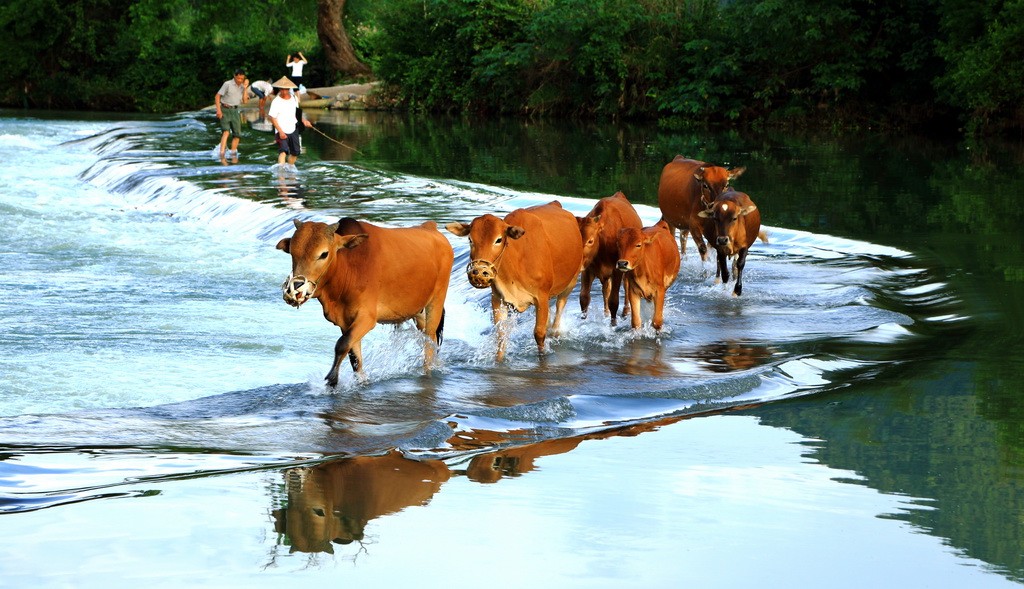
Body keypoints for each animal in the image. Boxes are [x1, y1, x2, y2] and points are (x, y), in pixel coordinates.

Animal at [276, 218, 452, 387]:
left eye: (324, 254)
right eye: (292, 252)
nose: (295, 287)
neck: (348, 268)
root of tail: (431, 227)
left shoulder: (367, 318)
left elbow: (341, 344)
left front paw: (332, 378)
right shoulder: (345, 322)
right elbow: (354, 356)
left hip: (436, 302)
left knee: (429, 342)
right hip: (419, 313)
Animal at [448, 200, 585, 362]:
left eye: (498, 240)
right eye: (470, 239)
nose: (479, 272)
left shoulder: (541, 297)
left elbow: (539, 334)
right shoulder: (498, 298)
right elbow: (500, 336)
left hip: (570, 283)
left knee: (558, 314)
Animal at [577, 191, 638, 325]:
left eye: (590, 241)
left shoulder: (617, 270)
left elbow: (614, 301)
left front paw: (613, 324)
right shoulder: (587, 270)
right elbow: (584, 298)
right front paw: (583, 320)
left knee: (626, 287)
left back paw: (626, 311)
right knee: (605, 290)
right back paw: (606, 313)